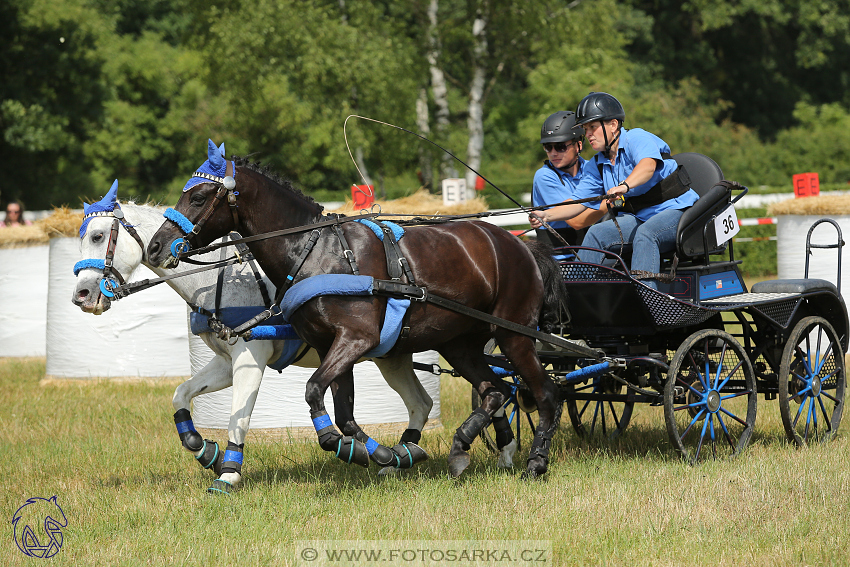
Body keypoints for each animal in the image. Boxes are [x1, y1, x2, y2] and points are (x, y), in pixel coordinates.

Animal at [73, 185, 500, 492]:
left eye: (98, 236)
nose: (82, 295)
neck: (218, 281)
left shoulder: (250, 359)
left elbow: (240, 418)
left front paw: (228, 473)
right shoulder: (225, 363)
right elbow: (181, 394)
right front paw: (203, 449)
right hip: (390, 355)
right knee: (421, 402)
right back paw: (397, 459)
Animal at [149, 143, 568, 480]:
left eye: (199, 197)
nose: (156, 246)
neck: (317, 251)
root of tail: (522, 245)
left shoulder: (355, 339)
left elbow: (314, 391)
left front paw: (347, 444)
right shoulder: (331, 346)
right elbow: (345, 413)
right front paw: (375, 452)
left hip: (514, 336)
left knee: (544, 393)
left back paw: (535, 461)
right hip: (459, 344)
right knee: (495, 390)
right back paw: (461, 447)